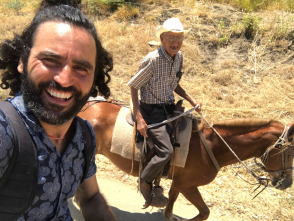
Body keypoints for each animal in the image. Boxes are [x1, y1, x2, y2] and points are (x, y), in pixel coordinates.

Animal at [78, 100, 294, 221]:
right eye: (291, 154)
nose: (287, 183)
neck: (211, 147)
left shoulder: (179, 183)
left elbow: (171, 203)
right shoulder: (187, 185)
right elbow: (205, 213)